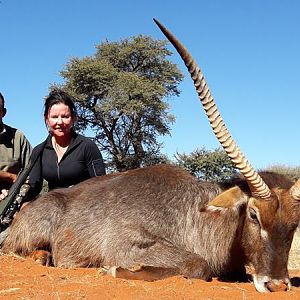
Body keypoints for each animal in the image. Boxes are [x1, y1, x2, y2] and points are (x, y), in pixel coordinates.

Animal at [1, 19, 298, 292]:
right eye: (254, 215)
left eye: (295, 224)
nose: (276, 284)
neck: (197, 212)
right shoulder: (129, 243)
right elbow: (198, 264)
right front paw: (113, 270)